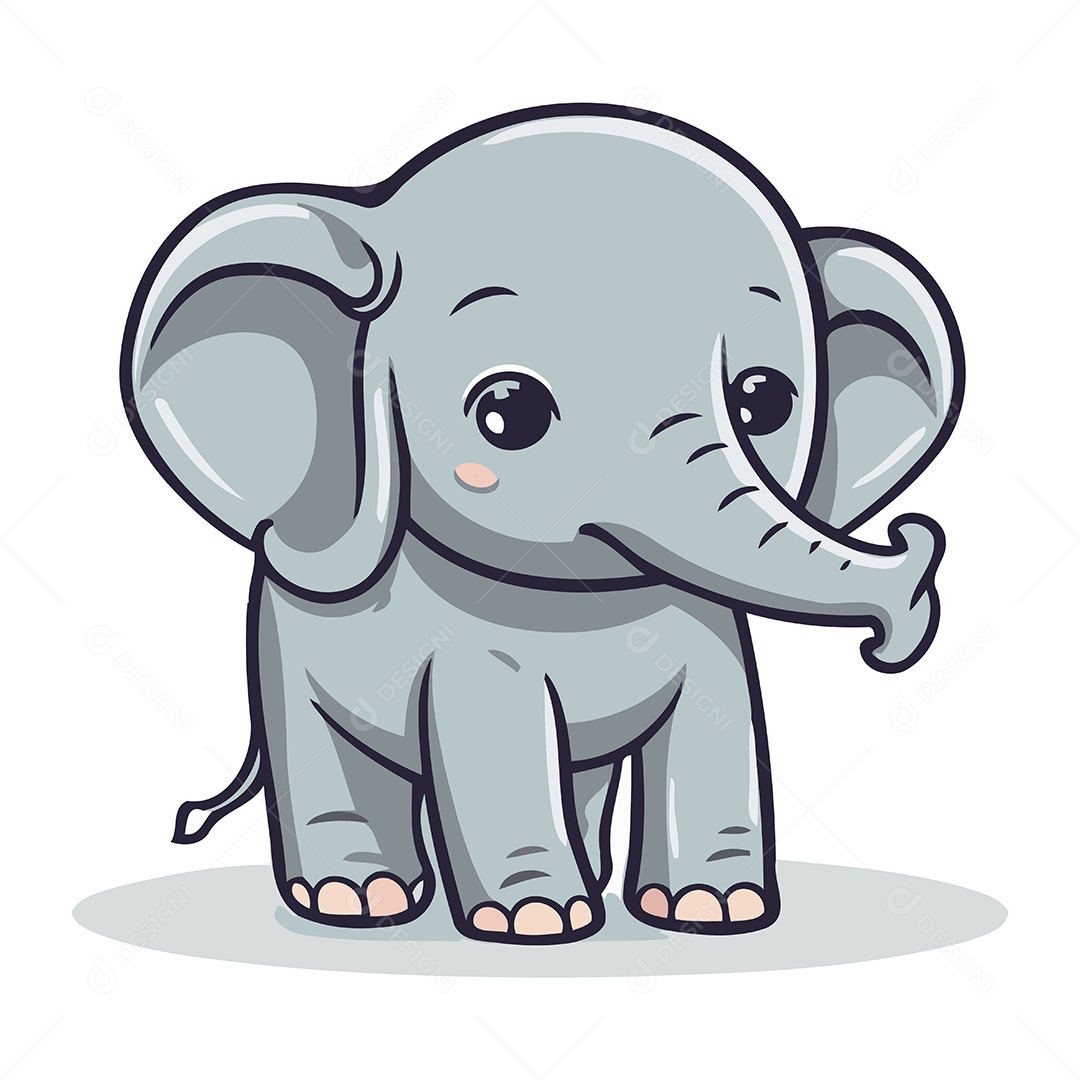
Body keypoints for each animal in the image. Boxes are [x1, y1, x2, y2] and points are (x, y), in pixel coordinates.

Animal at [120, 103, 963, 944]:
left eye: (764, 401)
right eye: (508, 412)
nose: (912, 555)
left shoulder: (711, 630)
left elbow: (716, 724)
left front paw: (713, 910)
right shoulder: (467, 653)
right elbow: (500, 741)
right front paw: (536, 922)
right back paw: (358, 900)